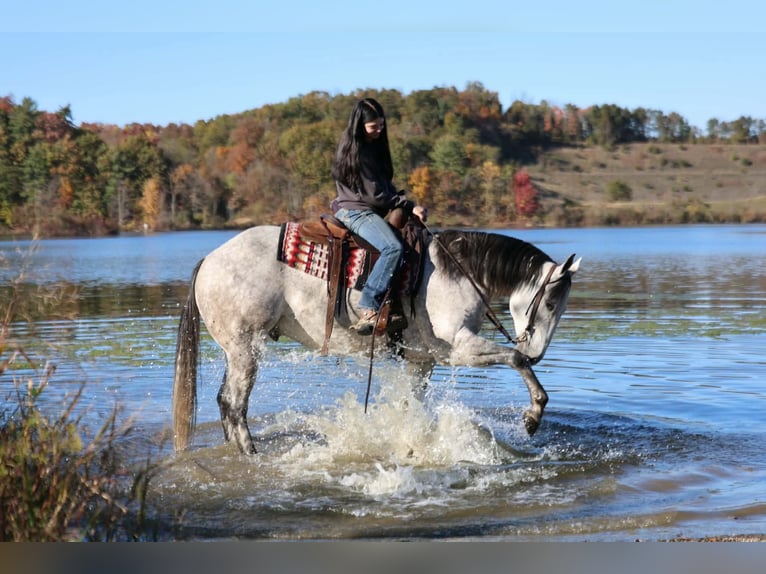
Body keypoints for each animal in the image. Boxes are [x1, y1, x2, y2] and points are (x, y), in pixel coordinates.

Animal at [172, 224, 581, 455]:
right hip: (245, 349)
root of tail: (208, 260)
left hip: (237, 350)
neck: (458, 272)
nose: (537, 352)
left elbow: (411, 405)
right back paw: (250, 452)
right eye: (549, 302)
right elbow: (514, 359)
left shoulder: (421, 360)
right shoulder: (455, 349)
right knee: (234, 403)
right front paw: (533, 415)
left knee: (224, 401)